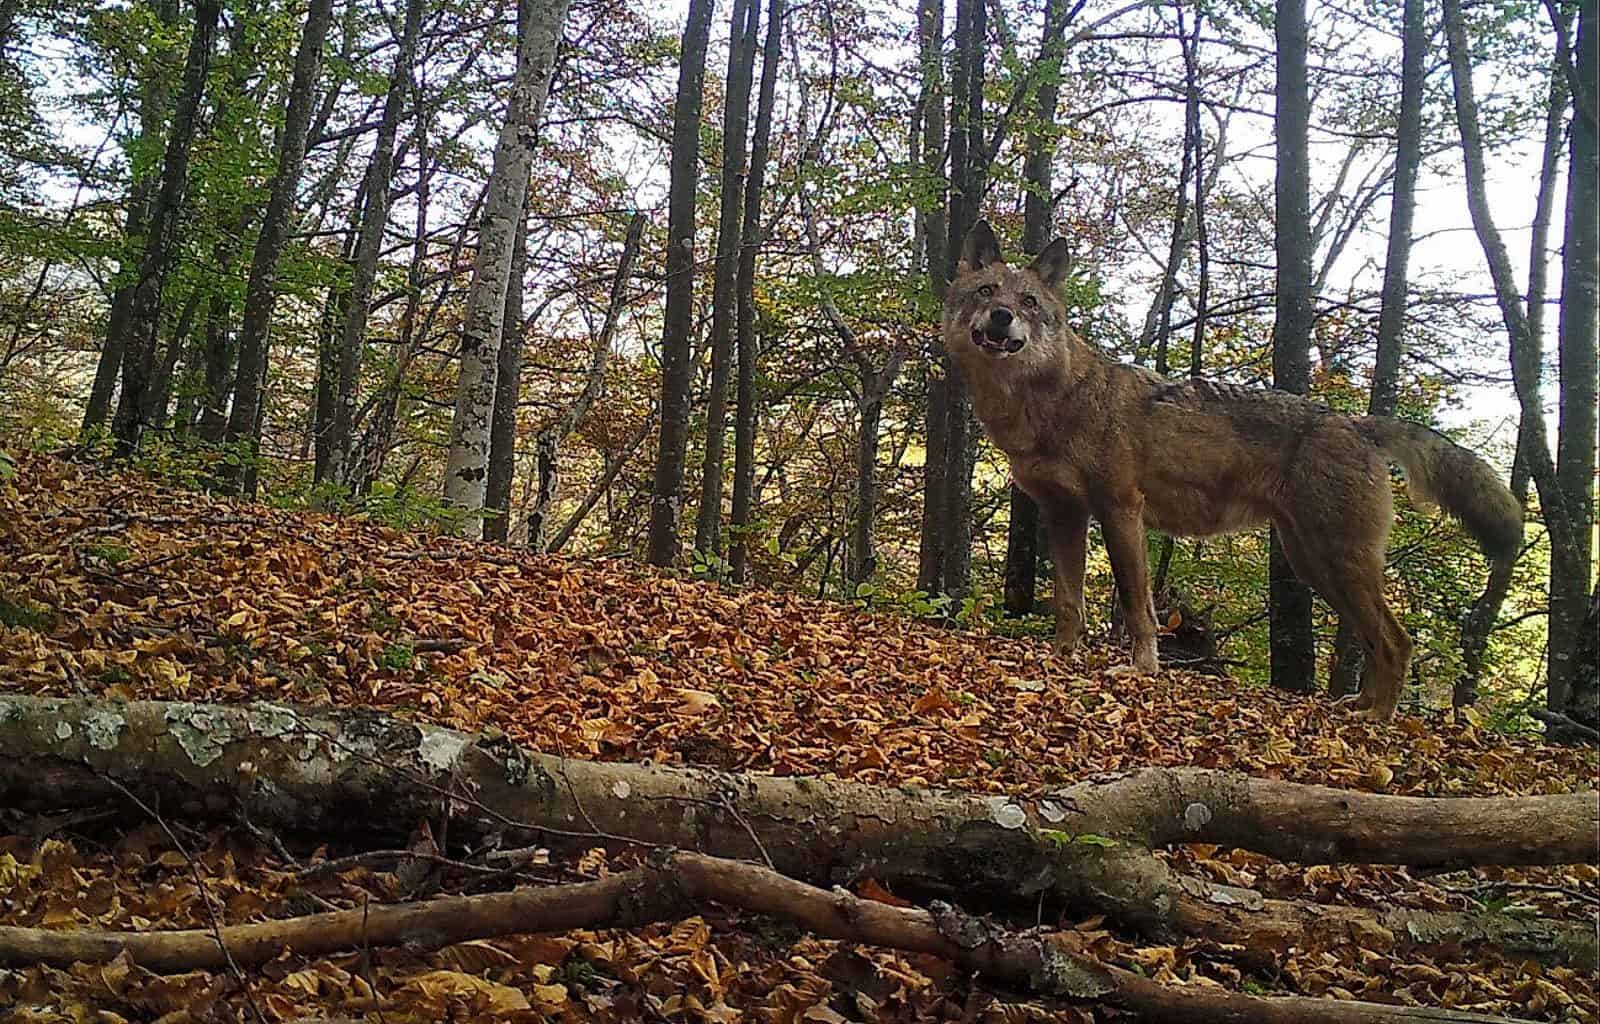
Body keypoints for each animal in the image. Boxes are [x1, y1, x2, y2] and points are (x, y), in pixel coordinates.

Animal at [944, 220, 1523, 722]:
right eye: (987, 291)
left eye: (1028, 303)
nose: (1001, 317)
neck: (1053, 400)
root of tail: (1354, 422)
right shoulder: (1063, 514)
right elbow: (1069, 600)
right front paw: (1063, 655)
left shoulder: (1120, 510)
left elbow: (1136, 603)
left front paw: (1141, 670)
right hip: (1316, 566)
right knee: (1375, 639)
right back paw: (1357, 706)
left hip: (1338, 562)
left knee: (1397, 640)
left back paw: (1378, 719)